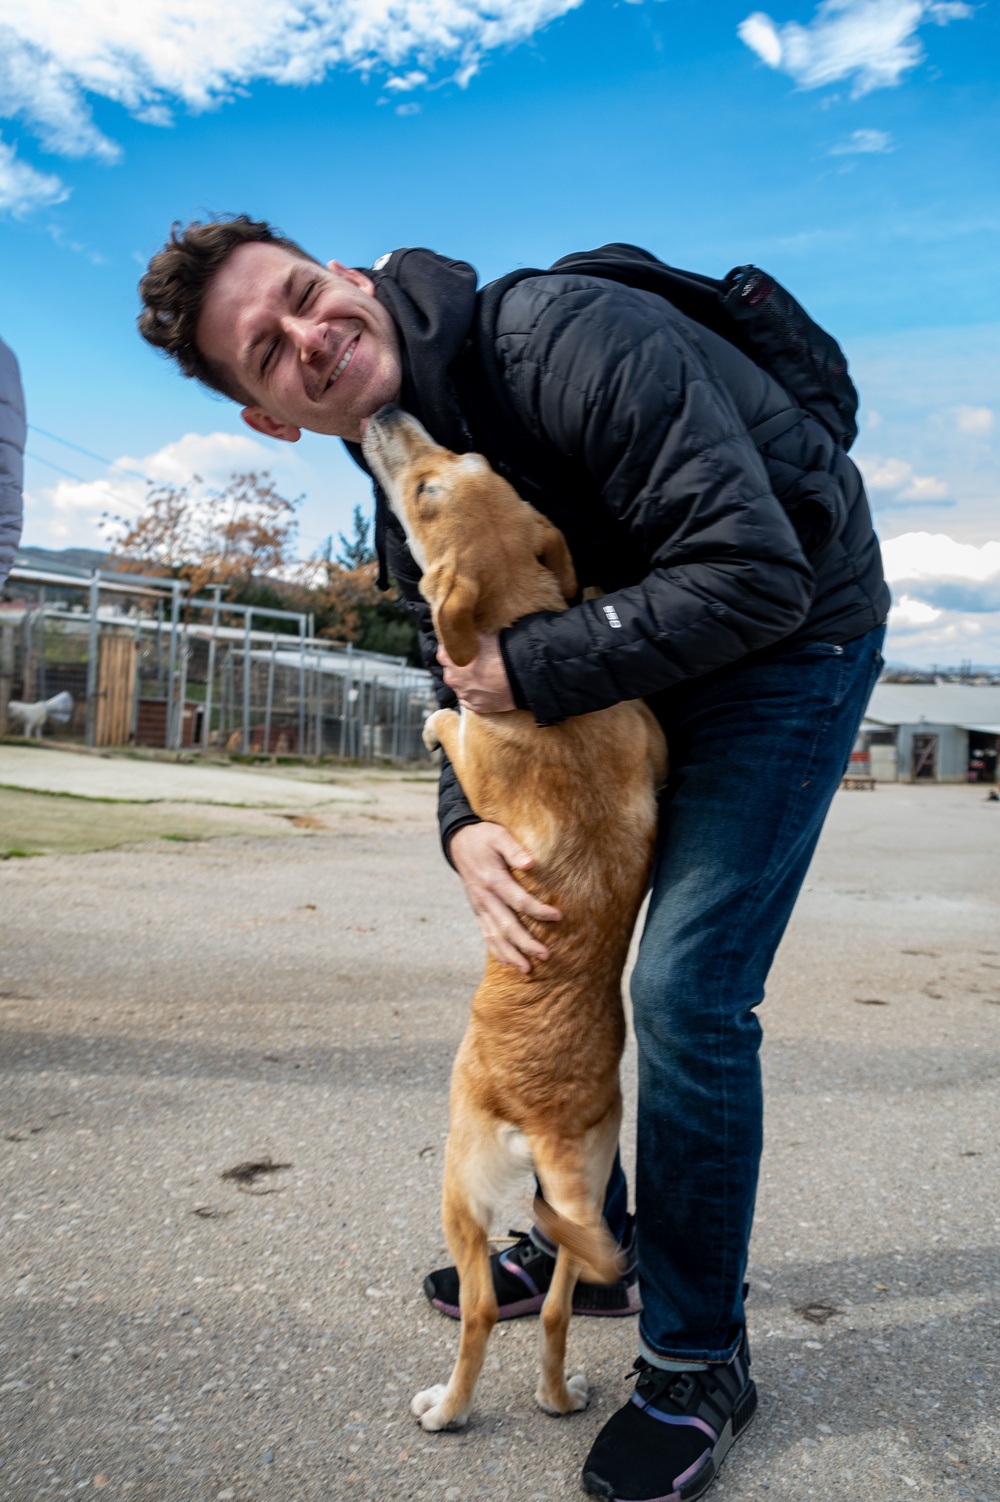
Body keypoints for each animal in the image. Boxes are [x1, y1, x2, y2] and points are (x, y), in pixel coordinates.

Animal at [358, 408, 660, 1429]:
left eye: (424, 494)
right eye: (470, 460)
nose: (388, 414)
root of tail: (551, 1124)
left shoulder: (479, 743)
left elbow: (455, 724)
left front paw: (435, 718)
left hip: (458, 1180)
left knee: (487, 1309)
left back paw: (445, 1409)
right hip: (582, 1207)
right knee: (561, 1311)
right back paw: (560, 1399)